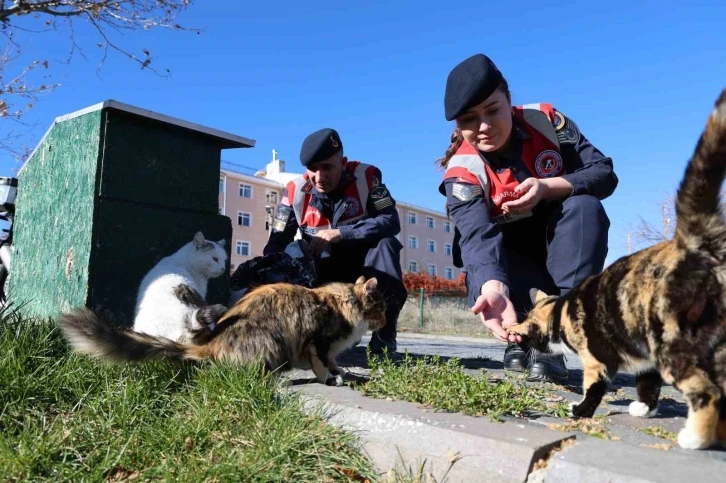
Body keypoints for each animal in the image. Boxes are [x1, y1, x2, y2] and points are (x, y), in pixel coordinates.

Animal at [58, 276, 386, 386]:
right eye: (382, 308)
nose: (384, 321)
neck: (344, 302)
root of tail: (210, 344)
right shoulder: (319, 341)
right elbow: (322, 365)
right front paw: (332, 379)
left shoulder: (325, 347)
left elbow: (334, 363)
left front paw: (343, 374)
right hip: (273, 342)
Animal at [510, 86, 726, 450]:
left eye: (531, 336)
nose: (530, 346)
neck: (560, 310)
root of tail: (695, 244)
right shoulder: (642, 354)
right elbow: (647, 382)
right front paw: (643, 407)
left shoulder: (597, 360)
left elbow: (594, 389)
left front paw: (580, 410)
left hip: (675, 342)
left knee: (707, 391)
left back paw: (695, 437)